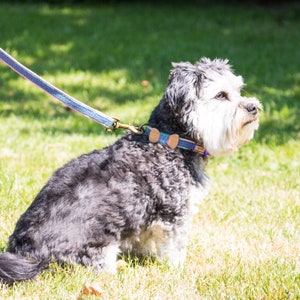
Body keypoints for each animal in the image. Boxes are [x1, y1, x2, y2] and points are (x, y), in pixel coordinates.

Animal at [0, 58, 262, 284]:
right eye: (221, 95)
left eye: (238, 90)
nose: (254, 107)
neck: (170, 141)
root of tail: (22, 252)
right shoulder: (174, 215)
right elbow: (176, 249)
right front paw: (179, 271)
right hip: (97, 251)